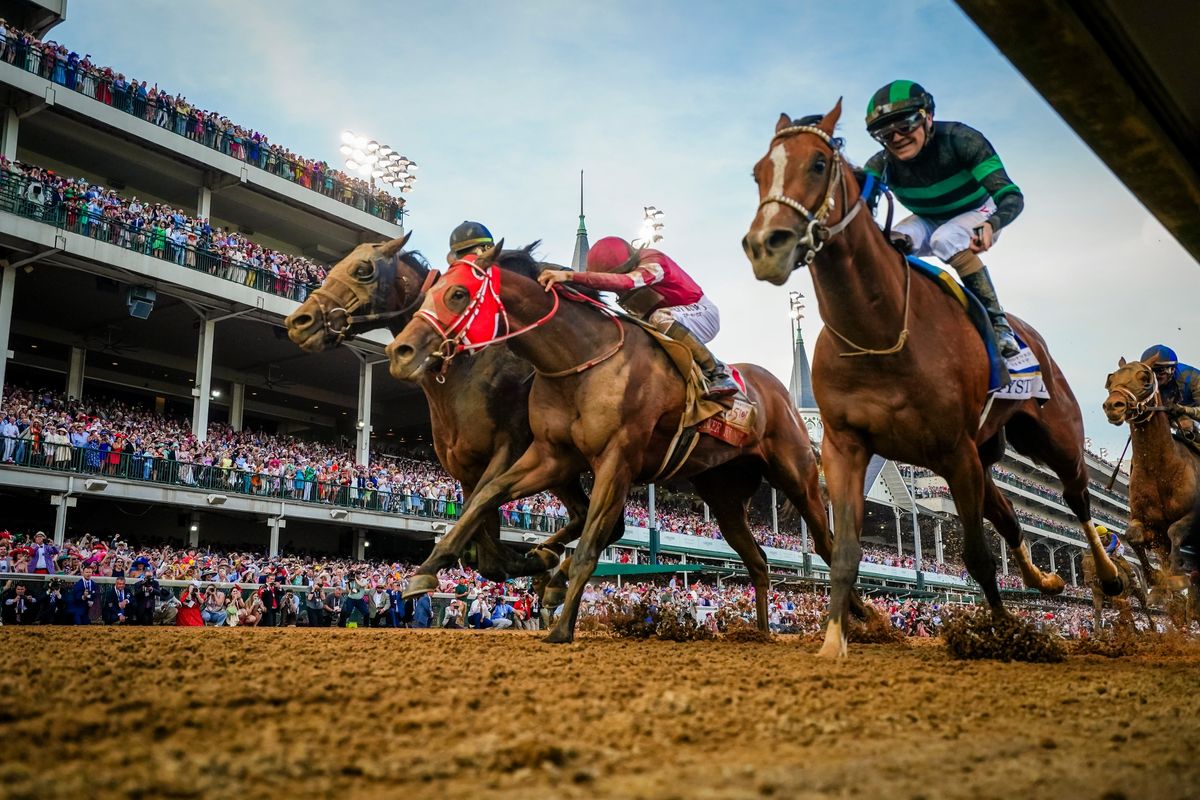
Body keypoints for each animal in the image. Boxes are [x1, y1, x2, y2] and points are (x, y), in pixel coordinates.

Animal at [284, 232, 595, 582]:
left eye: (363, 270)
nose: (300, 321)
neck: (468, 366)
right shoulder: (463, 462)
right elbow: (481, 533)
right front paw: (525, 558)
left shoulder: (511, 447)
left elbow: (479, 509)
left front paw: (528, 559)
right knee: (584, 514)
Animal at [388, 244, 840, 642]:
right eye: (430, 291)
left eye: (458, 293)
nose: (399, 351)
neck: (578, 360)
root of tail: (781, 396)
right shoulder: (551, 456)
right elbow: (487, 496)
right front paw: (426, 571)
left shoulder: (614, 460)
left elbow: (590, 544)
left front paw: (561, 629)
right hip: (725, 498)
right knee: (759, 561)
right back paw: (761, 632)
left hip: (796, 475)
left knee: (826, 544)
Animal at [739, 103, 1123, 662]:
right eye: (758, 172)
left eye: (817, 164)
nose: (766, 245)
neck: (876, 331)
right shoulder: (845, 447)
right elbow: (845, 550)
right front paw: (834, 640)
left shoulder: (953, 450)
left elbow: (978, 558)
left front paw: (1005, 632)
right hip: (982, 452)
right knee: (1008, 512)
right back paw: (1045, 580)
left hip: (1052, 439)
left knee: (1077, 500)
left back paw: (1110, 573)